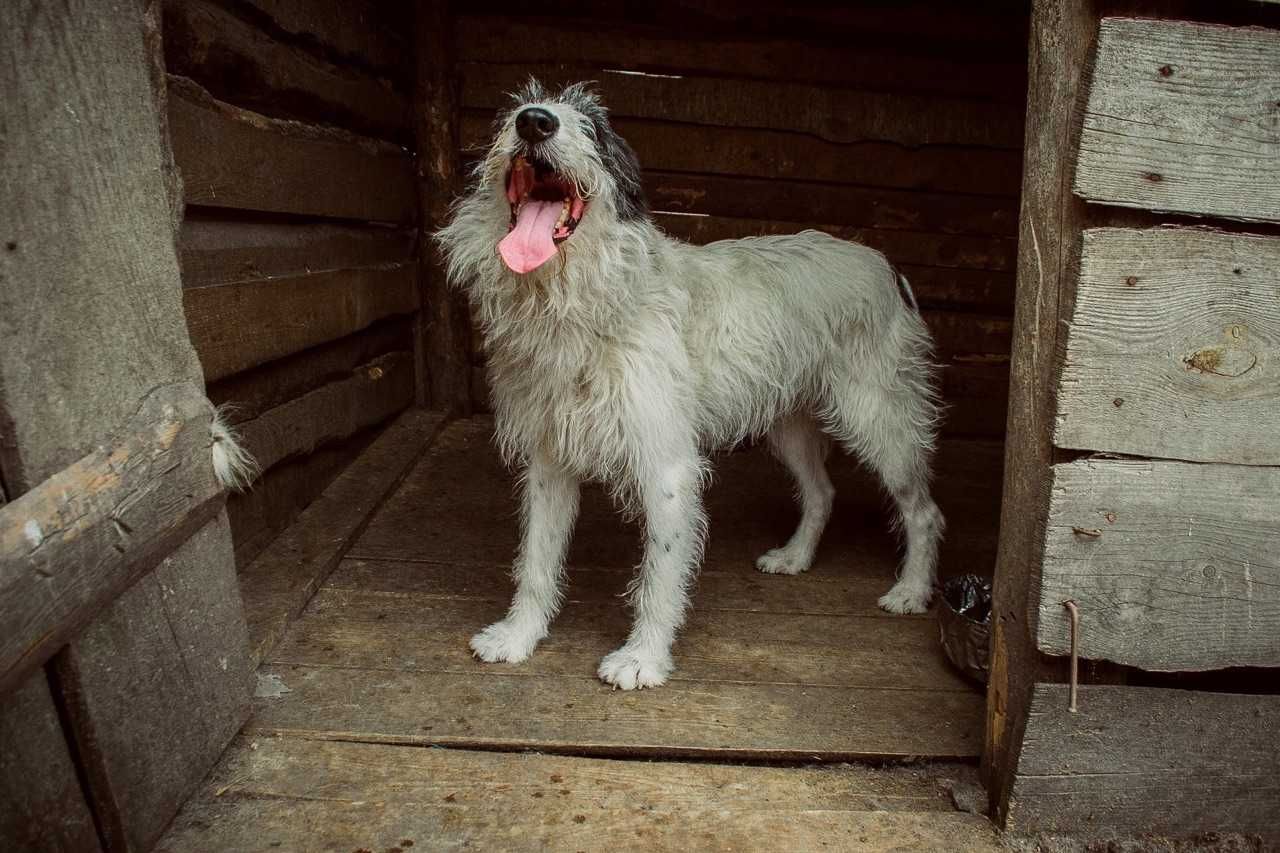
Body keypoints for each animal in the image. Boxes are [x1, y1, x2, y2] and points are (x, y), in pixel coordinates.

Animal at [435, 79, 947, 686]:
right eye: (515, 110)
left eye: (594, 128)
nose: (535, 121)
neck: (581, 301)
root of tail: (884, 265)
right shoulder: (548, 460)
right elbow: (536, 559)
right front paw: (519, 635)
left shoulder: (668, 469)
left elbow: (659, 576)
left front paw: (643, 659)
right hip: (789, 426)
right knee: (822, 491)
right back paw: (795, 557)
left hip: (881, 423)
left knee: (924, 512)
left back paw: (911, 590)